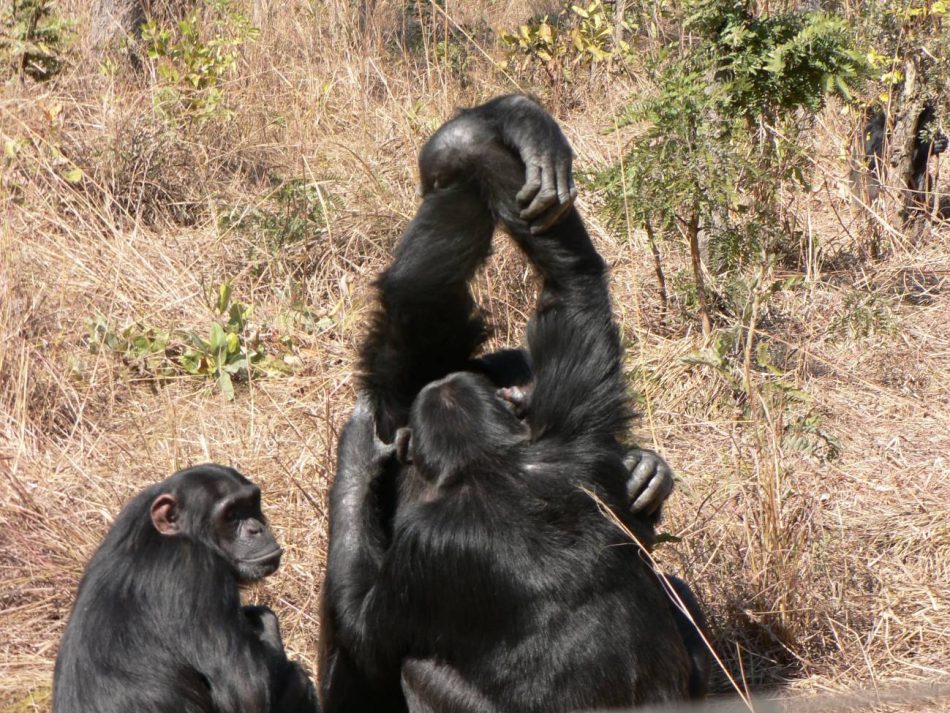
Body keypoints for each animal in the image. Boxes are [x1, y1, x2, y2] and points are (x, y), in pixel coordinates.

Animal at [54, 464, 318, 708]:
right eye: (231, 514)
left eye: (251, 504)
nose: (257, 528)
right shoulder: (196, 571)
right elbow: (247, 691)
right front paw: (260, 617)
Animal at [324, 96, 712, 712]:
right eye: (516, 403)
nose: (525, 405)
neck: (494, 464)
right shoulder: (568, 418)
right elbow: (568, 282)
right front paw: (514, 126)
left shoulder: (425, 553)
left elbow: (366, 626)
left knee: (411, 665)